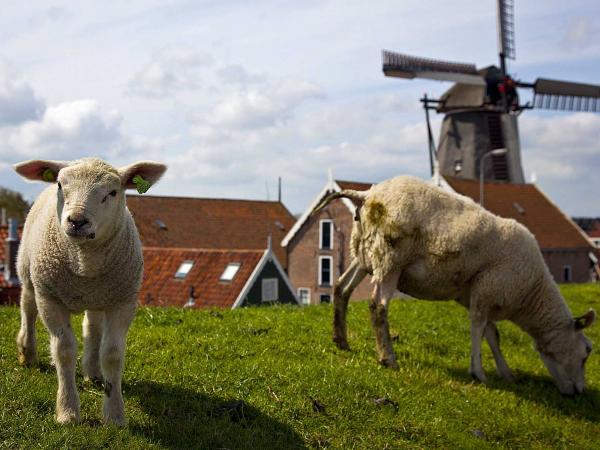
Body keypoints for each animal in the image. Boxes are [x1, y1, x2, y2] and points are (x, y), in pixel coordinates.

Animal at [14, 156, 166, 424]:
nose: (77, 221)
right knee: (28, 308)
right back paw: (27, 351)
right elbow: (63, 351)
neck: (84, 263)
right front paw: (67, 412)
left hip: (98, 296)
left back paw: (93, 371)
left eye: (112, 192)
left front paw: (114, 416)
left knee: (92, 327)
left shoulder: (123, 301)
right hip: (29, 271)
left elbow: (113, 355)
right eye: (60, 185)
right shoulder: (50, 298)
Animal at [314, 175, 596, 394]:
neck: (531, 295)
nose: (578, 393)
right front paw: (478, 372)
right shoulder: (488, 288)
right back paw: (387, 357)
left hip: (366, 254)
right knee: (378, 305)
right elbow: (478, 329)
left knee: (342, 287)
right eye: (586, 352)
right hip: (390, 258)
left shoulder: (479, 294)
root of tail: (368, 194)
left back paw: (340, 339)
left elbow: (492, 335)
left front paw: (505, 373)